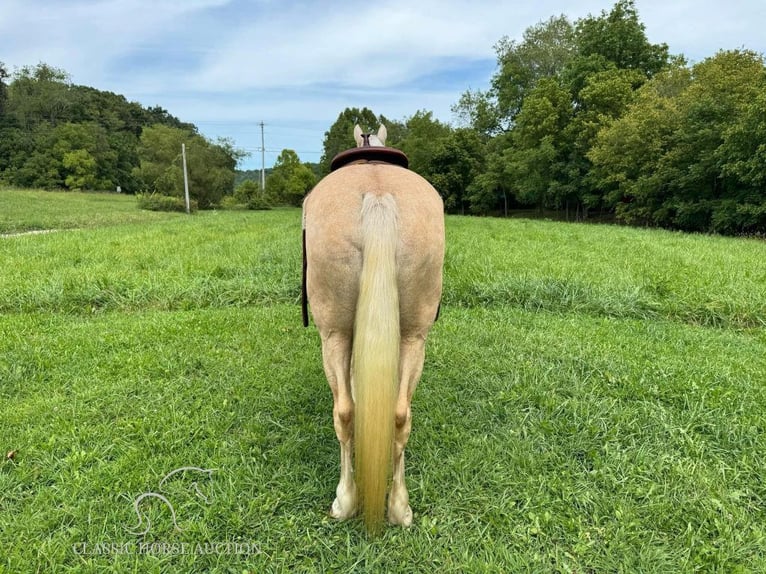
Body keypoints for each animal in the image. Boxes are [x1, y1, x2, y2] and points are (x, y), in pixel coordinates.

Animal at [302, 126, 444, 536]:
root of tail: (378, 196)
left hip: (333, 333)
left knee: (345, 412)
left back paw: (345, 501)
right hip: (413, 335)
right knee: (399, 414)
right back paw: (400, 507)